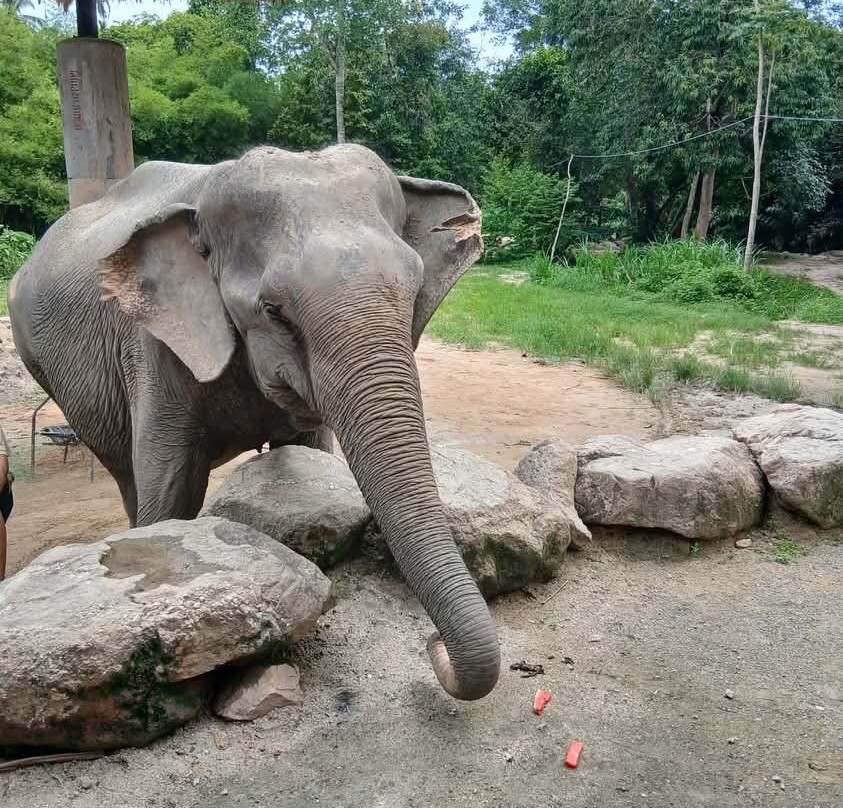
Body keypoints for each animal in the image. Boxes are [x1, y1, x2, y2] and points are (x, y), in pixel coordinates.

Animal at [8, 144, 499, 701]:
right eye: (274, 310)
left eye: (415, 293)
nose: (433, 647)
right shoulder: (153, 345)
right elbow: (172, 491)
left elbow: (310, 453)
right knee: (121, 468)